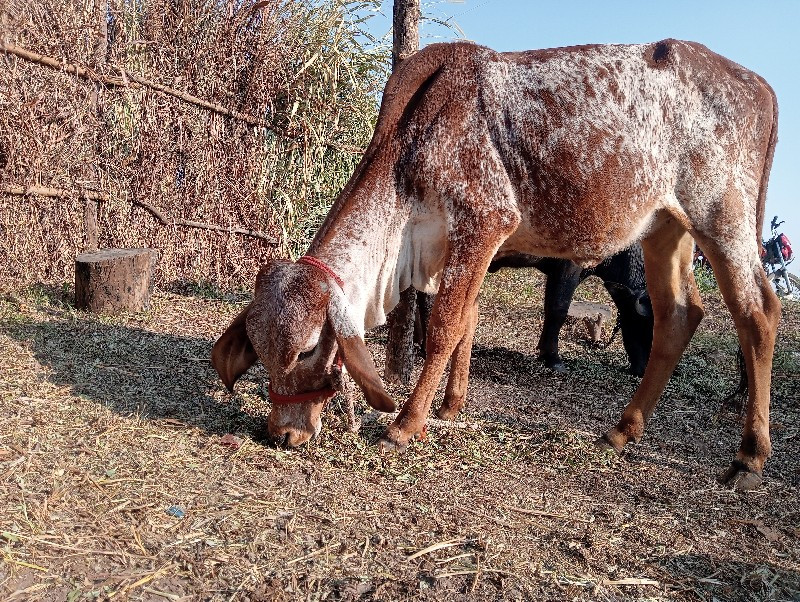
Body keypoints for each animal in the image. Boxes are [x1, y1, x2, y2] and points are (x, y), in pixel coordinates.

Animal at [214, 38, 780, 488]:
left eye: (309, 348)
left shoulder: (485, 221)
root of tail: (759, 84)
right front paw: (450, 406)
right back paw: (621, 431)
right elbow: (466, 321)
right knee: (679, 315)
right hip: (666, 228)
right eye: (261, 353)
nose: (283, 433)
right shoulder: (456, 246)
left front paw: (406, 424)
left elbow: (444, 327)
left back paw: (748, 457)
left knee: (758, 313)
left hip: (722, 217)